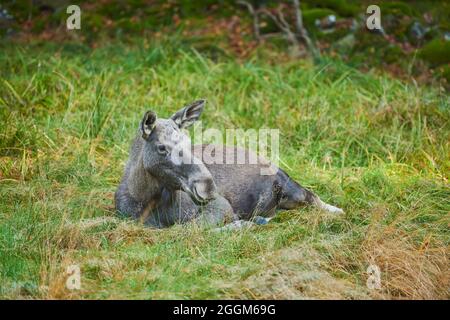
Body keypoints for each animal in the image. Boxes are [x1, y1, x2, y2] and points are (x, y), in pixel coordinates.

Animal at [114, 99, 342, 228]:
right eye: (162, 147)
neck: (143, 198)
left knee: (316, 198)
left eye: (189, 142)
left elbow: (186, 229)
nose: (207, 187)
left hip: (293, 189)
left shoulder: (221, 206)